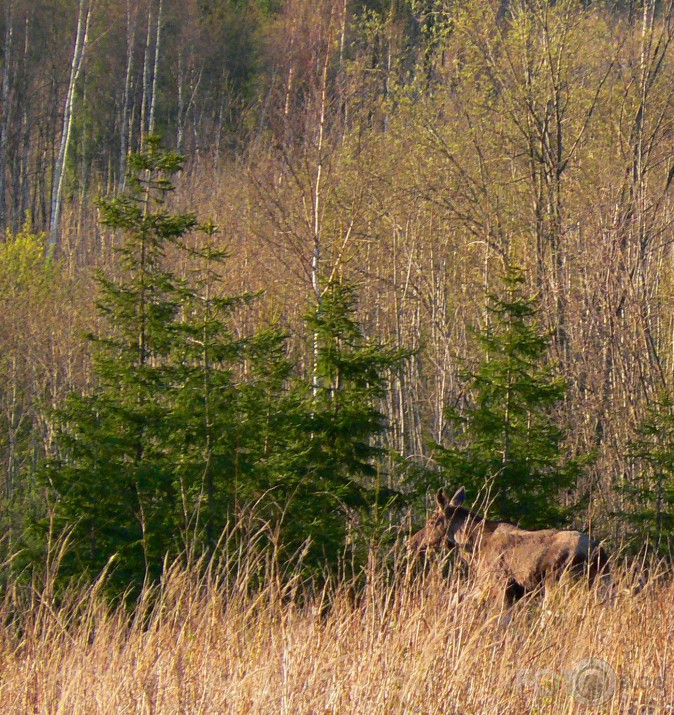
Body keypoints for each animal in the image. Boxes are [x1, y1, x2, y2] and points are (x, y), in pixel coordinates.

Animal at [406, 484, 612, 608]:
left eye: (431, 522)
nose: (411, 542)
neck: (475, 549)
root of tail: (598, 553)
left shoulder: (498, 584)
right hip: (602, 584)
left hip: (559, 584)